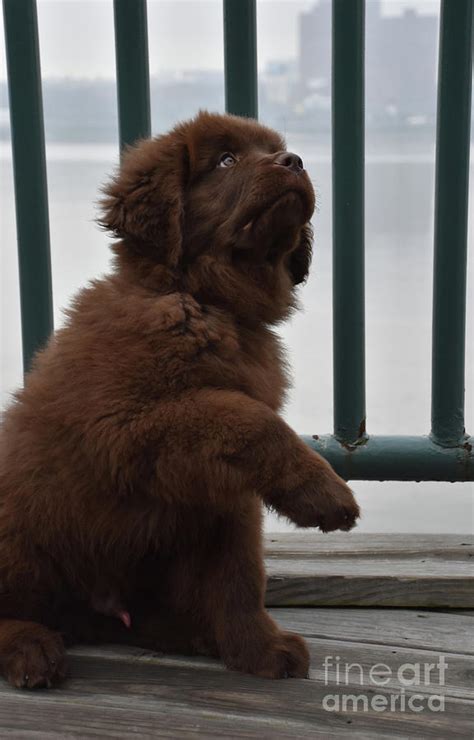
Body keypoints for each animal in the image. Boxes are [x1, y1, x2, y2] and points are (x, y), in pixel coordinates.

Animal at [0, 111, 360, 688]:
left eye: (275, 149)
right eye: (226, 161)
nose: (294, 161)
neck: (208, 301)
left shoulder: (226, 498)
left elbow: (241, 575)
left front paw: (258, 648)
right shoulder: (125, 427)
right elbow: (245, 417)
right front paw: (327, 495)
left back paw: (190, 631)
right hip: (21, 534)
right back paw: (29, 647)